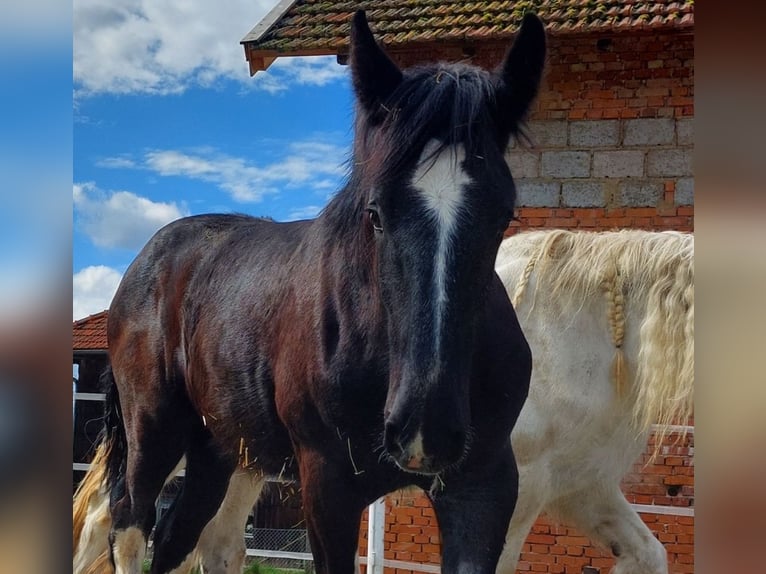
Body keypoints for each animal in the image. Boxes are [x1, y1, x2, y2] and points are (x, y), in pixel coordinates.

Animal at [103, 10, 544, 574]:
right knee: (130, 526)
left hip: (216, 449)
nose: (425, 427)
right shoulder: (328, 489)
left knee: (176, 536)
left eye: (503, 215)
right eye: (375, 214)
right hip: (153, 432)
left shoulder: (482, 489)